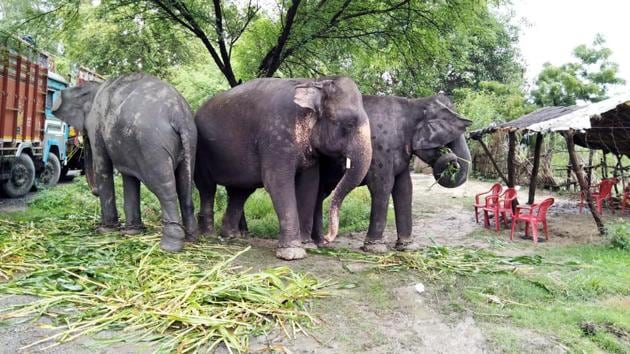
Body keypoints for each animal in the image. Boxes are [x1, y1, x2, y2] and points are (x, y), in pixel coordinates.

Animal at [53, 72, 199, 252]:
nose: (94, 192)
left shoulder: (97, 125)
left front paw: (105, 231)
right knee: (185, 186)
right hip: (190, 140)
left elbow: (104, 168)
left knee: (165, 190)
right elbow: (129, 177)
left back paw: (169, 246)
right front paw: (131, 232)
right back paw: (192, 239)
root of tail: (178, 114)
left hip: (152, 145)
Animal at [195, 76, 372, 260]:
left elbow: (309, 185)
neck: (314, 83)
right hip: (201, 152)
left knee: (240, 192)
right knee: (207, 187)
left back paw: (231, 236)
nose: (327, 238)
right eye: (349, 124)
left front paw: (307, 245)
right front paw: (292, 252)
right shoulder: (277, 137)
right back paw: (209, 236)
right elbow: (277, 182)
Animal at [314, 92, 472, 250]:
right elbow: (382, 186)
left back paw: (319, 242)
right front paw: (375, 247)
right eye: (449, 139)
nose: (453, 161)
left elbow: (405, 188)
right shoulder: (381, 148)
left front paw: (406, 246)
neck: (414, 104)